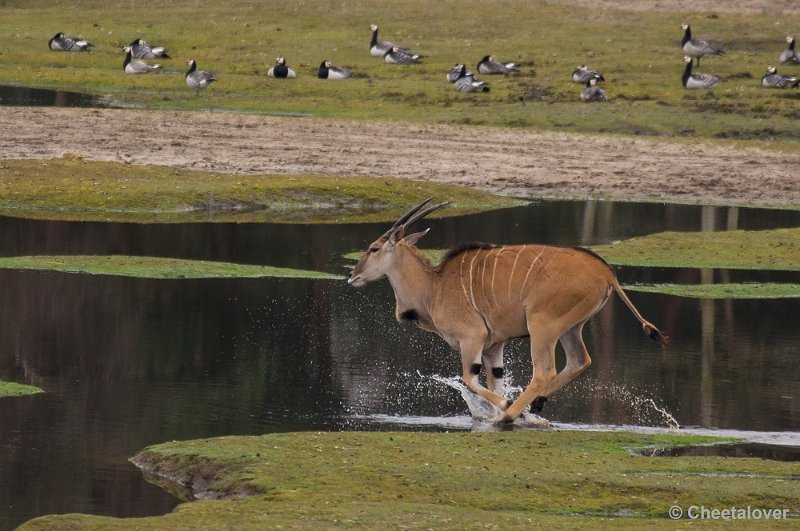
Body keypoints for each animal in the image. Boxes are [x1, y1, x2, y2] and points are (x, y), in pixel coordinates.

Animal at [346, 200, 664, 424]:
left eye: (373, 248)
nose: (352, 275)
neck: (435, 286)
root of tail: (607, 273)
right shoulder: (493, 347)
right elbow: (495, 381)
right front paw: (507, 408)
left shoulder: (472, 338)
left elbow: (470, 381)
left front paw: (507, 408)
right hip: (571, 328)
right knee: (579, 361)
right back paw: (535, 405)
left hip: (543, 327)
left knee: (545, 371)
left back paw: (510, 416)